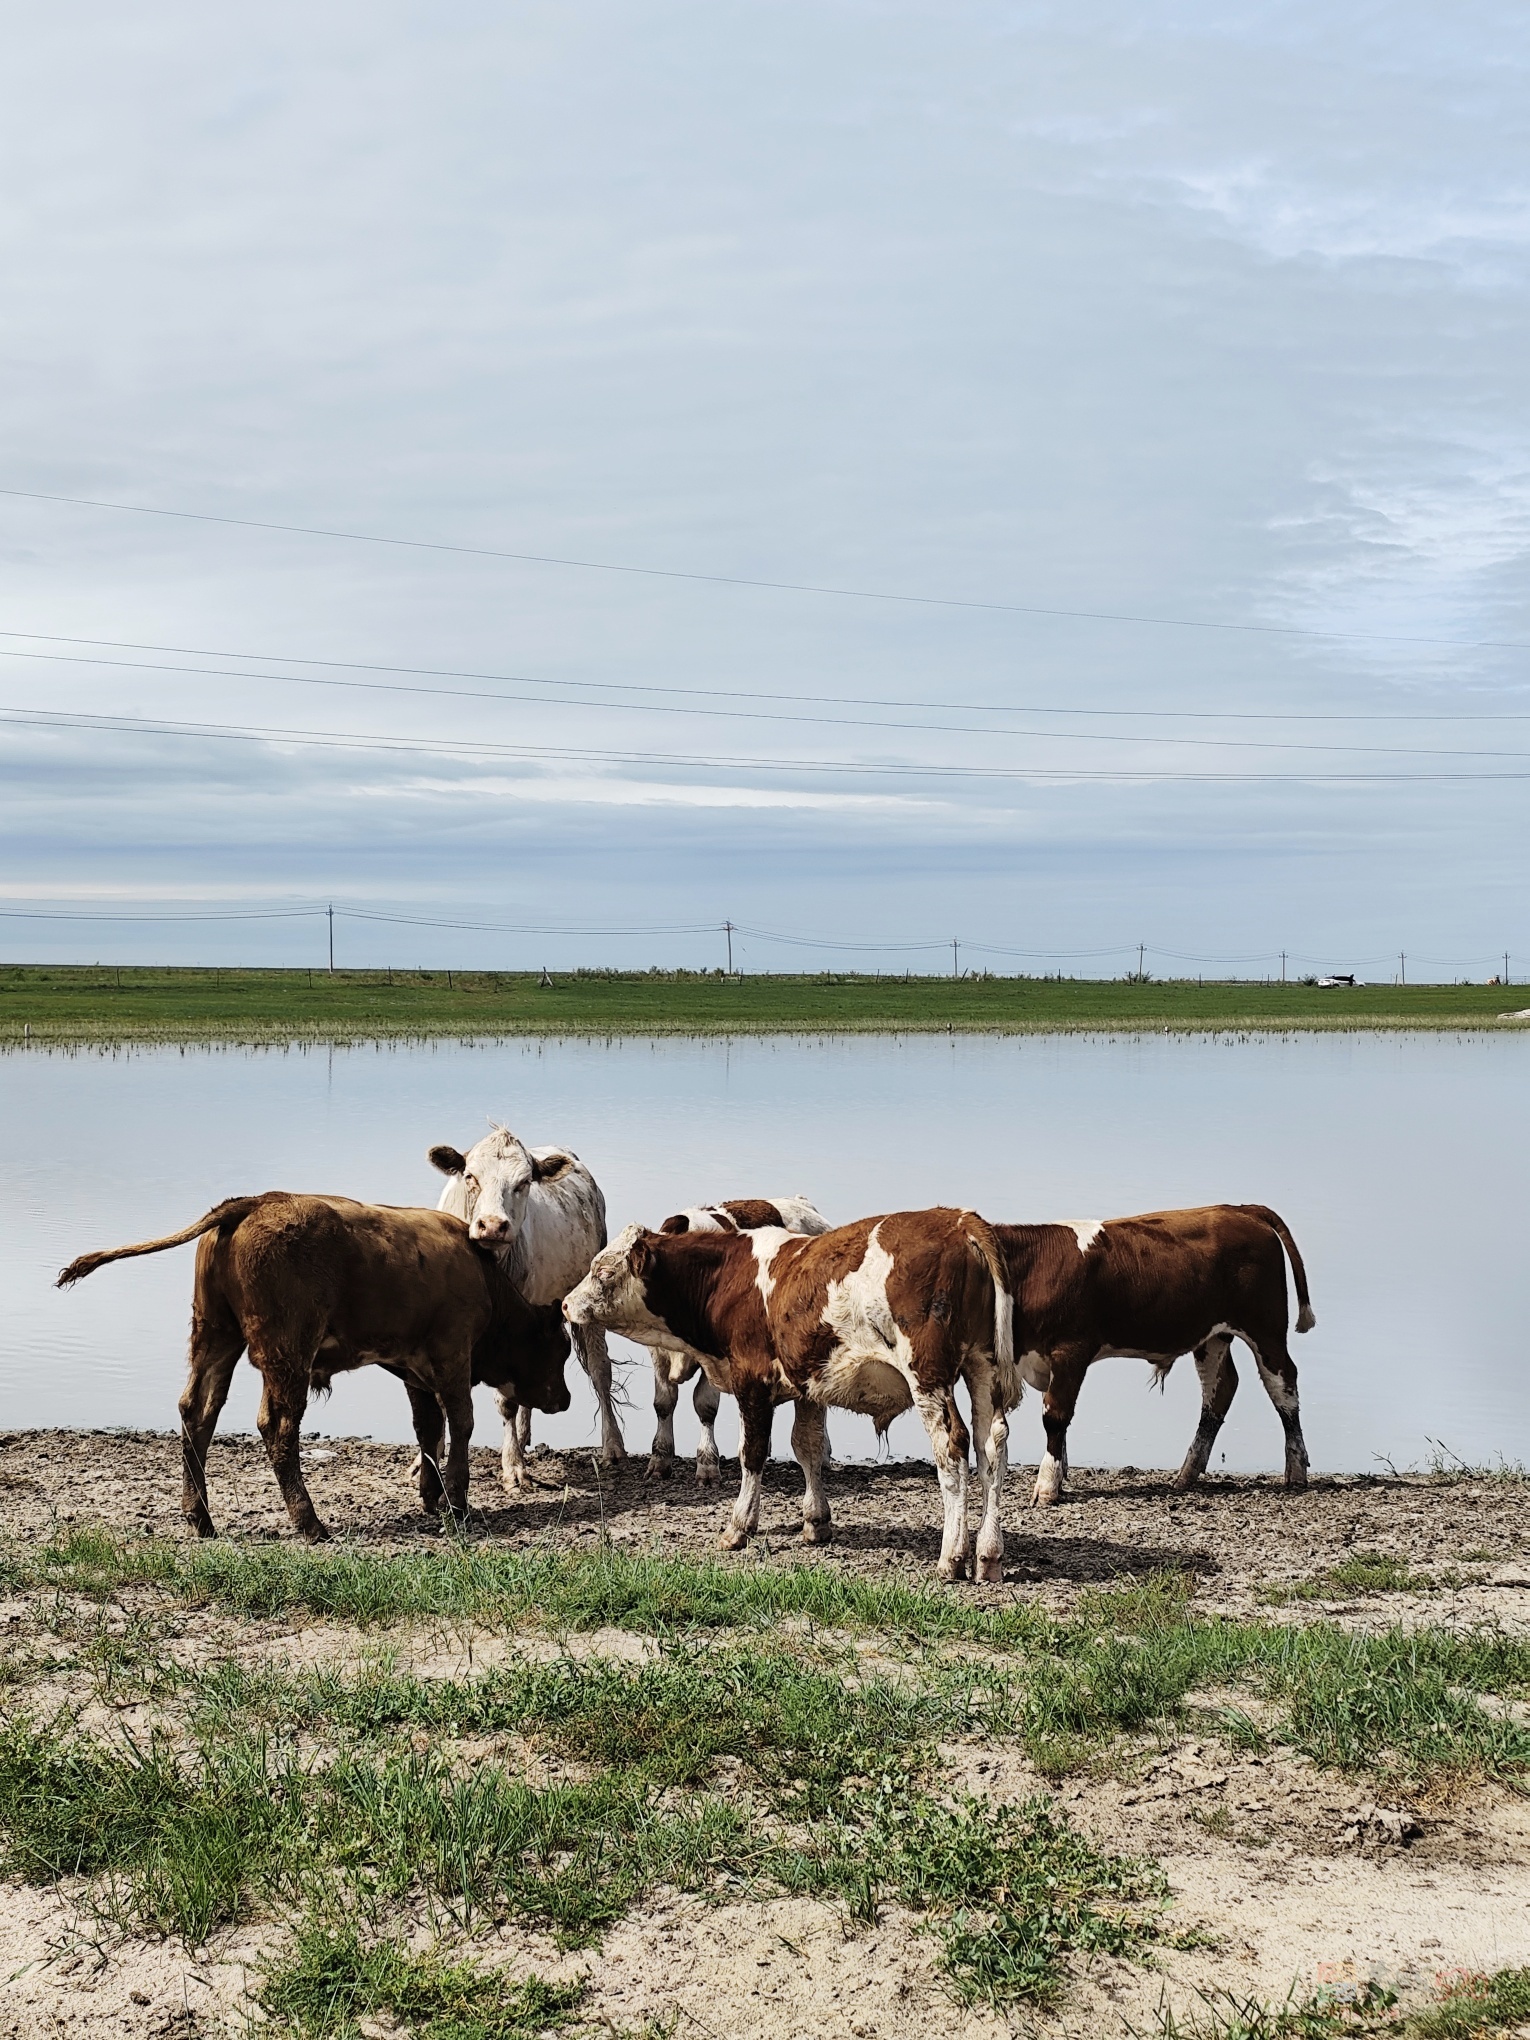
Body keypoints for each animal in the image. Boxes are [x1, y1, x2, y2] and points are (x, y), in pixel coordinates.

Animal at [56, 1191, 575, 1534]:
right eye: (560, 1348)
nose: (566, 1399)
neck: (483, 1279)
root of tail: (256, 1202)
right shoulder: (451, 1357)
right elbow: (460, 1423)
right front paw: (459, 1503)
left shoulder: (414, 1368)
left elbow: (428, 1428)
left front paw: (432, 1496)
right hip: (287, 1354)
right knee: (277, 1425)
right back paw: (309, 1522)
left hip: (216, 1335)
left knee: (197, 1413)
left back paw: (200, 1518)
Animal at [426, 1117, 624, 1485]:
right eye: (470, 1176)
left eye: (523, 1182)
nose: (492, 1225)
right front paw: (425, 1461)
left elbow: (505, 1400)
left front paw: (513, 1465)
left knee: (600, 1370)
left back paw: (613, 1446)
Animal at [648, 1191, 840, 1485]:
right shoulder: (657, 1352)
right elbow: (663, 1403)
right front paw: (659, 1460)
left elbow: (705, 1406)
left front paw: (707, 1465)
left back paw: (825, 1455)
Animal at [995, 1199, 1321, 1509]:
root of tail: (1243, 1209)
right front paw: (1059, 1478)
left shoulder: (1070, 1350)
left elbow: (1055, 1416)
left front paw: (1047, 1487)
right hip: (1213, 1336)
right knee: (1220, 1388)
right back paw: (1187, 1474)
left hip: (1265, 1327)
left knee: (1282, 1384)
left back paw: (1296, 1471)